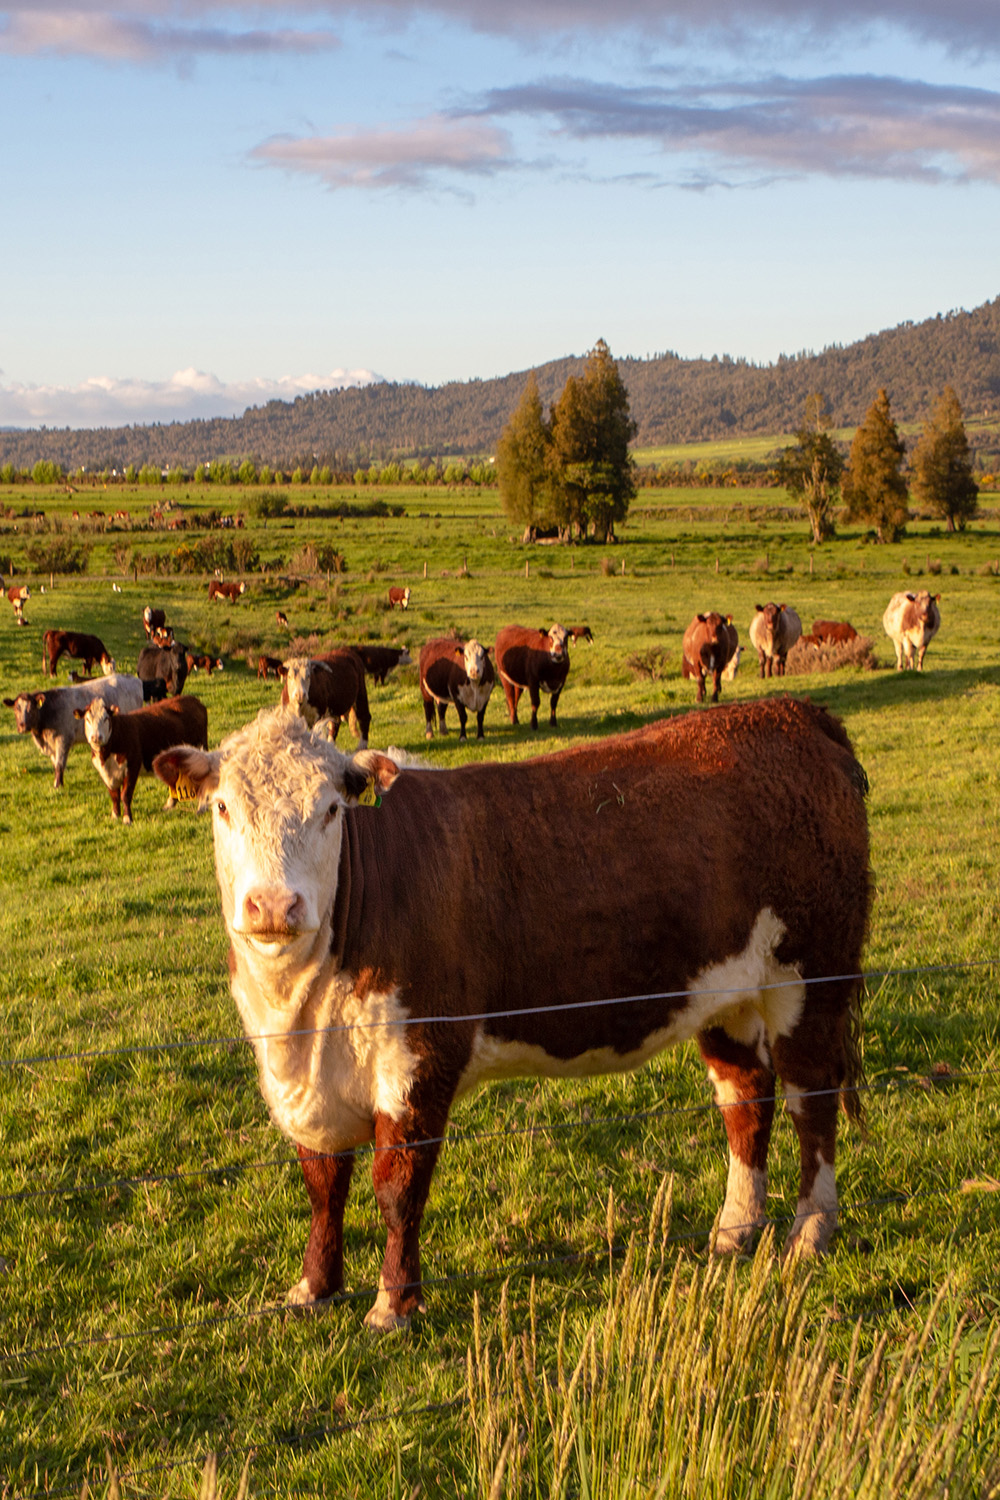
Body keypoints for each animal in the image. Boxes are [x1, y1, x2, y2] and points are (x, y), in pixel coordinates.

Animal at [2, 674, 143, 788]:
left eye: (31, 709)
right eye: (16, 708)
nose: (23, 726)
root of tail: (133, 679)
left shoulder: (63, 739)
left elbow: (60, 764)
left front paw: (58, 786)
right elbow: (55, 764)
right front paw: (58, 783)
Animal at [76, 694, 208, 824]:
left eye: (106, 718)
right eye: (87, 719)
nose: (96, 737)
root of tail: (192, 699)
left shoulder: (133, 766)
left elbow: (125, 794)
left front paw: (127, 818)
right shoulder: (105, 773)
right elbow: (114, 795)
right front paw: (115, 816)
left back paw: (201, 808)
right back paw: (170, 804)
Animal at [152, 695, 871, 1331]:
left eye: (331, 810)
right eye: (222, 807)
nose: (274, 906)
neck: (299, 1013)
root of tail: (794, 713)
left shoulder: (421, 1057)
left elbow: (398, 1188)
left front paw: (393, 1306)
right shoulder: (307, 1081)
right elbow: (323, 1184)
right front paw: (313, 1288)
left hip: (812, 976)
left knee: (812, 1100)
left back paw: (809, 1231)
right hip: (727, 994)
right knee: (746, 1099)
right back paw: (735, 1229)